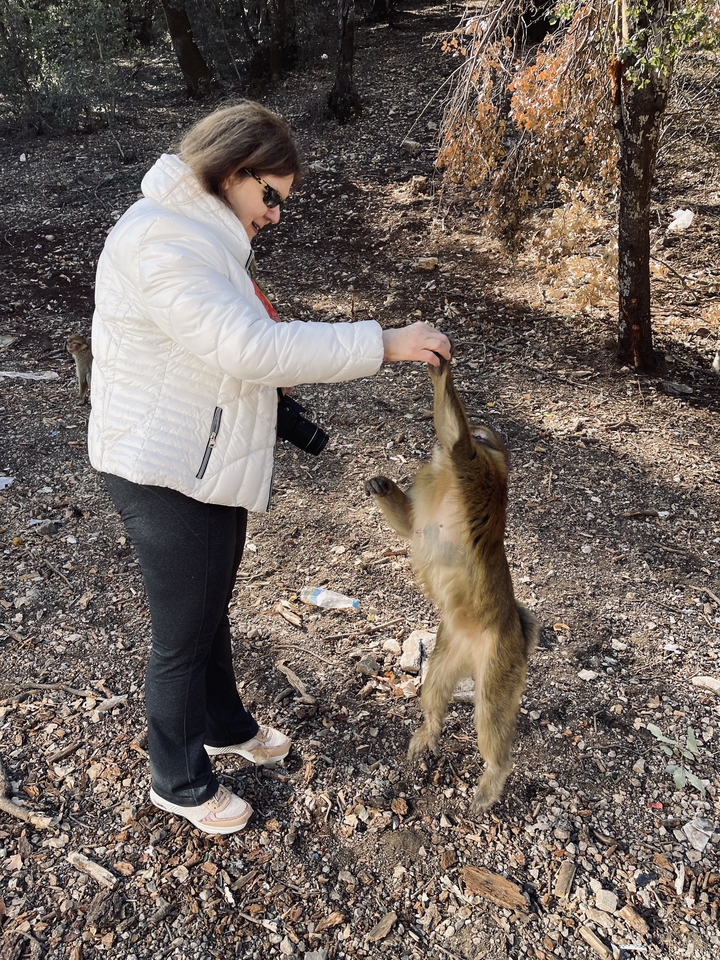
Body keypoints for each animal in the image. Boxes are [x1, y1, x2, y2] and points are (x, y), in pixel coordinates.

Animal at [365, 352, 539, 813]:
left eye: (483, 434)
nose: (481, 430)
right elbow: (410, 527)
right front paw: (382, 486)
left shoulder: (475, 468)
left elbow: (456, 440)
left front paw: (439, 368)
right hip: (451, 644)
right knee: (437, 683)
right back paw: (429, 729)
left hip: (500, 660)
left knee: (490, 711)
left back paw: (495, 775)